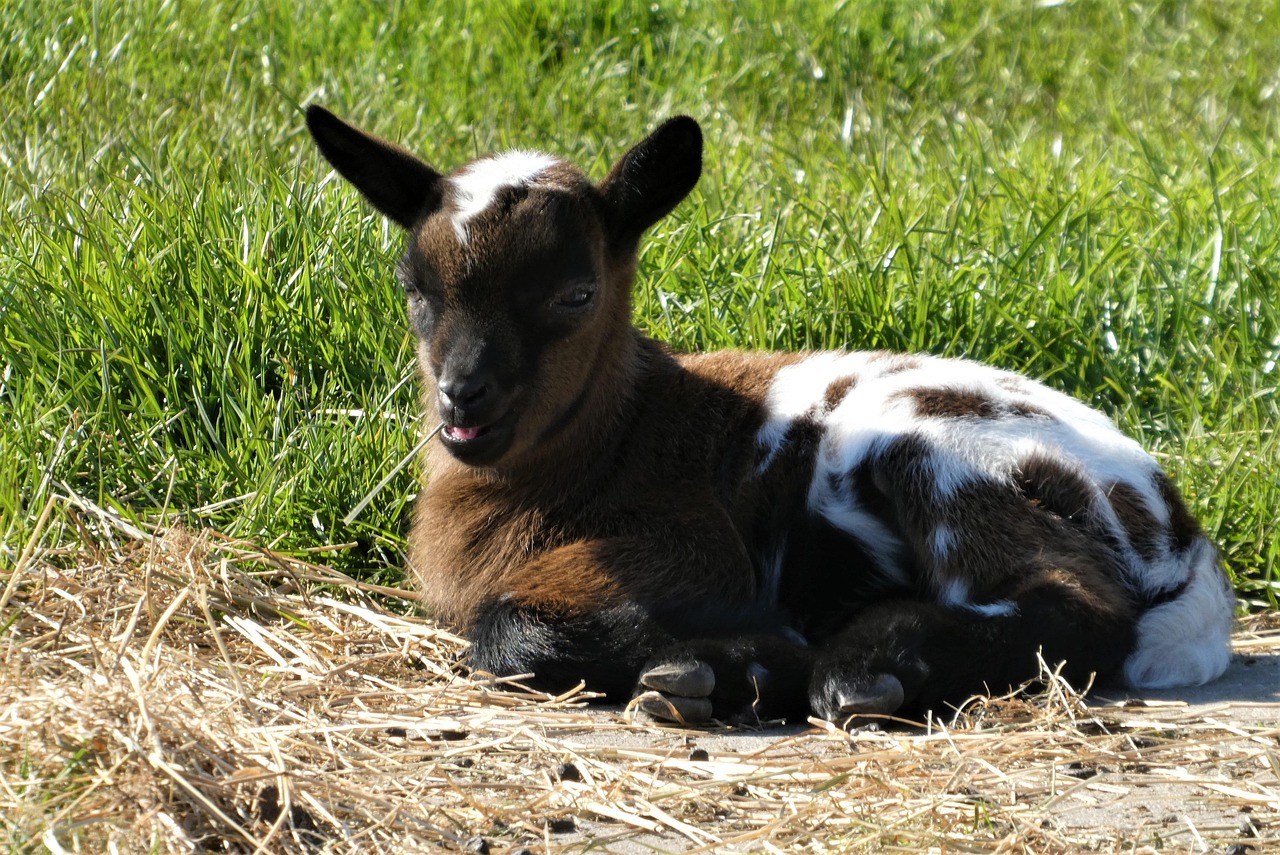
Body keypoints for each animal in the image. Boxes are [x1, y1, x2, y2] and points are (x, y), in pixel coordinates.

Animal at [306, 106, 1235, 725]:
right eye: (413, 288)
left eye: (576, 294)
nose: (465, 395)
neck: (615, 442)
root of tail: (1178, 527)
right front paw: (734, 670)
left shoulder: (695, 547)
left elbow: (505, 628)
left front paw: (733, 663)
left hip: (939, 450)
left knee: (1077, 603)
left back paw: (861, 669)